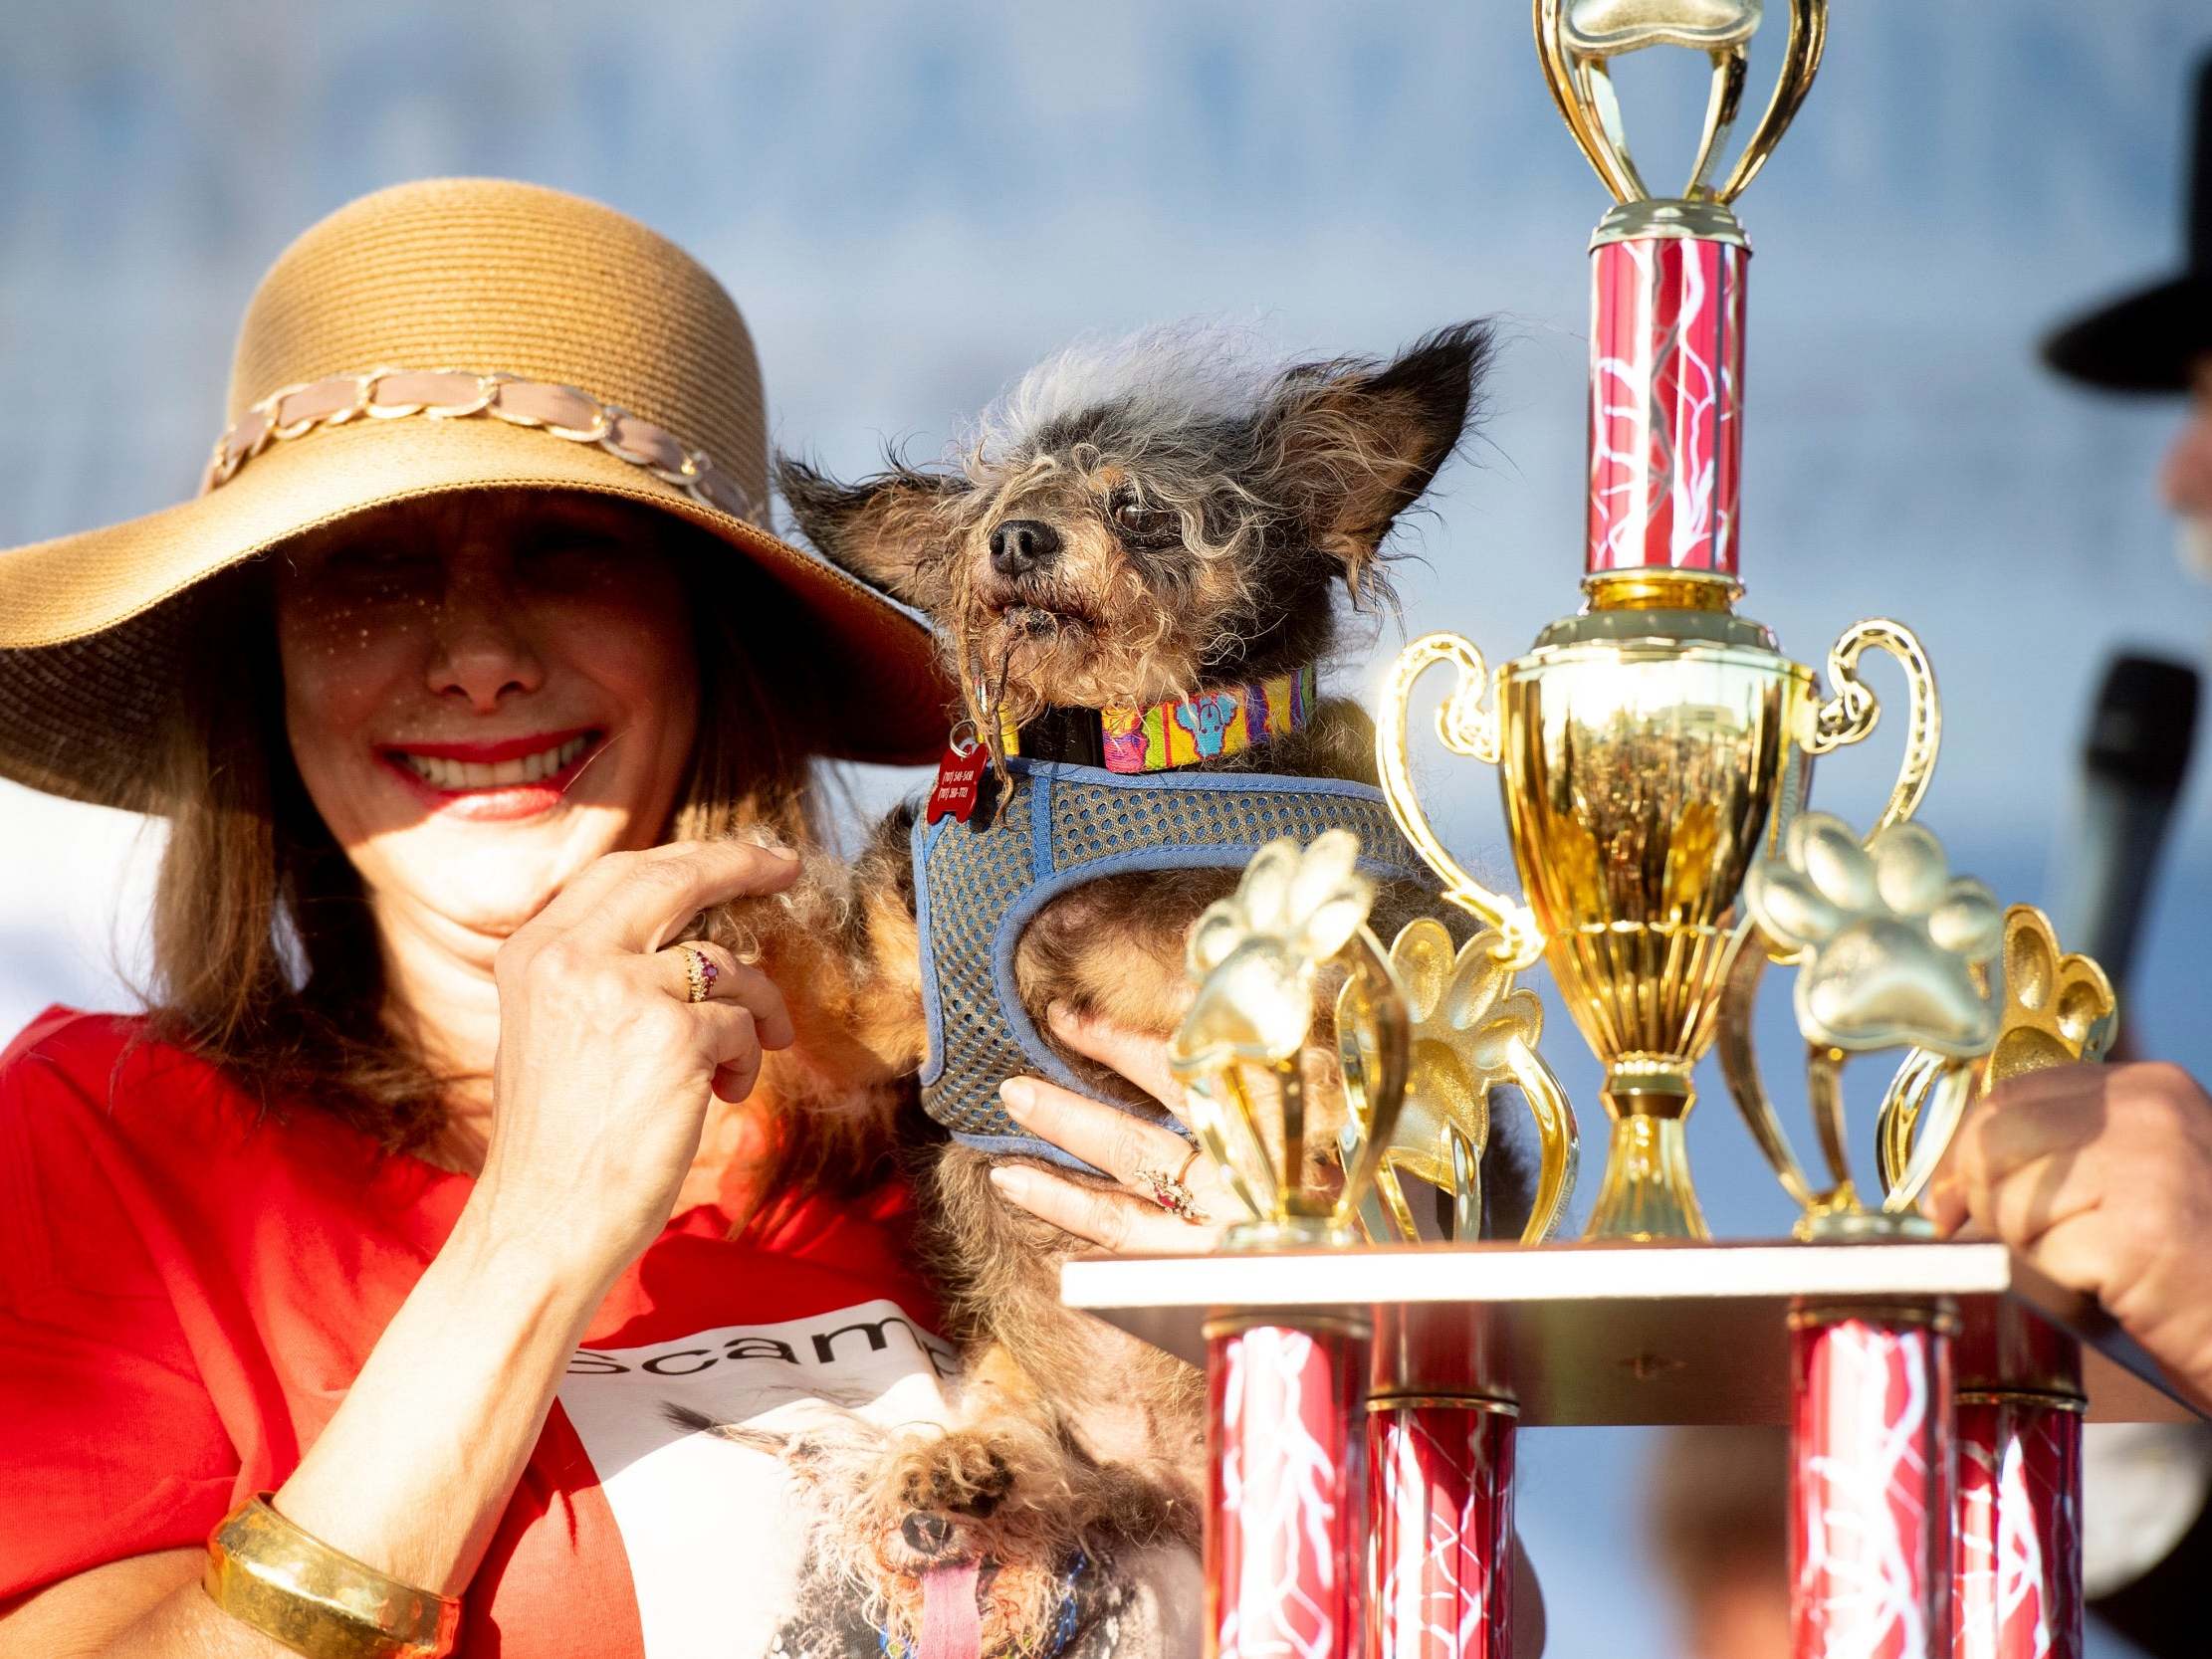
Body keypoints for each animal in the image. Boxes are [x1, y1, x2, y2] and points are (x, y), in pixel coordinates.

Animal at [716, 320, 1512, 1654]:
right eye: (995, 510)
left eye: (1137, 507)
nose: (1017, 542)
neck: (1108, 760)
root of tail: (1164, 1472)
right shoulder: (882, 1013)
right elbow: (801, 974)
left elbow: (1321, 1031)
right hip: (1021, 1386)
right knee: (1028, 1463)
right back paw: (963, 1468)